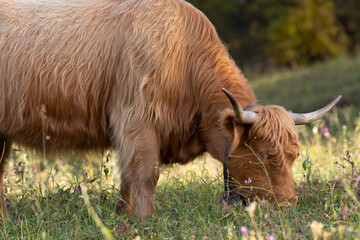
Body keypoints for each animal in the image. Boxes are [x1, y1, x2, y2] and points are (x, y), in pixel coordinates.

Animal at [0, 0, 340, 219]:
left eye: (295, 155)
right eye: (266, 155)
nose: (288, 205)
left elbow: (128, 175)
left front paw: (122, 216)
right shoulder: (136, 120)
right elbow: (145, 173)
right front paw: (144, 220)